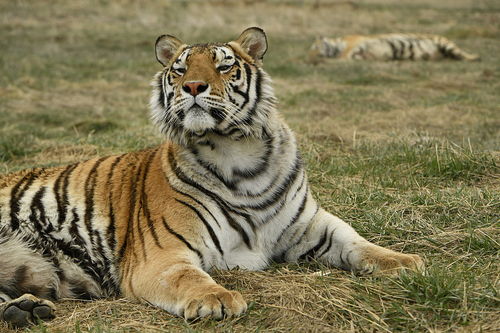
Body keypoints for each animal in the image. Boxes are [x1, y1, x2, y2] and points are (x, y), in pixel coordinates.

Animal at [0, 26, 424, 326]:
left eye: (223, 65)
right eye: (179, 69)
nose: (192, 85)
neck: (239, 156)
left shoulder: (309, 225)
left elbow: (356, 241)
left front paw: (405, 262)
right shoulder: (162, 255)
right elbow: (189, 277)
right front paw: (217, 299)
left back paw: (24, 310)